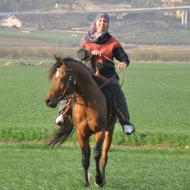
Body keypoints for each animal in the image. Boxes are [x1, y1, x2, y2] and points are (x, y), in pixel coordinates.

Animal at [44, 56, 117, 187]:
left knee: (104, 155)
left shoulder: (100, 131)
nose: (48, 100)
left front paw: (98, 179)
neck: (87, 102)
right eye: (53, 78)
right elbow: (85, 157)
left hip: (110, 131)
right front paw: (86, 181)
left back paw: (102, 179)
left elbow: (97, 154)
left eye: (62, 78)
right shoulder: (81, 133)